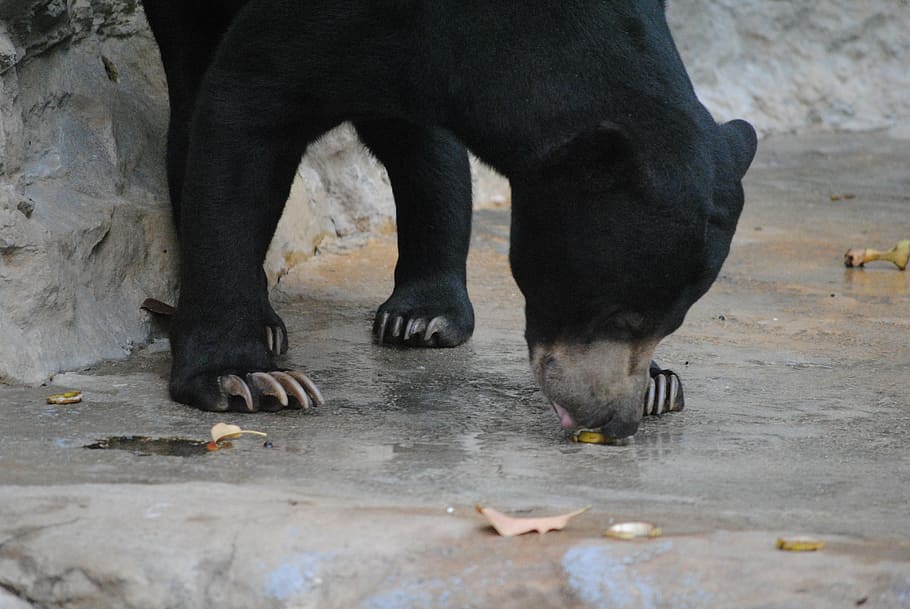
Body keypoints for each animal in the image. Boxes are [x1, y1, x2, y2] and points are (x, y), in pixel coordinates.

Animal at [141, 0, 756, 436]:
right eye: (621, 315)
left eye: (671, 322)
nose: (614, 421)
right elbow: (244, 107)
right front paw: (249, 379)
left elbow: (427, 144)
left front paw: (659, 383)